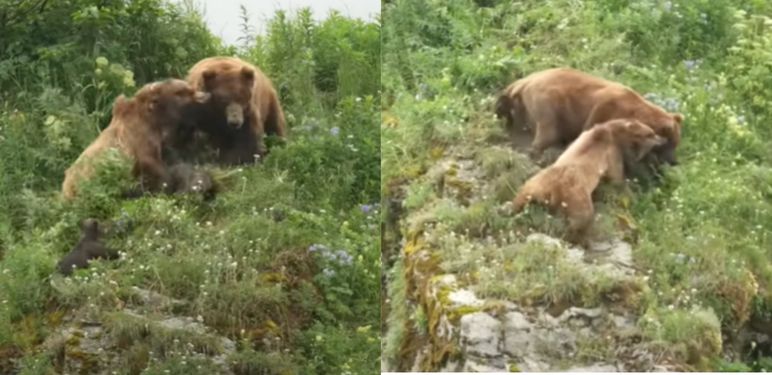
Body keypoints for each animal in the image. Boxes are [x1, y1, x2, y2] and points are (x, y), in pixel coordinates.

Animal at [494, 67, 680, 166]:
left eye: (676, 142)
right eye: (671, 143)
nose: (674, 161)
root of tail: (524, 83)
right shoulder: (604, 109)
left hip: (522, 105)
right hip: (549, 104)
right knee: (548, 132)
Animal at [510, 119, 668, 245]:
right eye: (651, 133)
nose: (662, 139)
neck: (613, 131)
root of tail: (553, 191)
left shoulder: (585, 135)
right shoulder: (611, 152)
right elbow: (616, 176)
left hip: (535, 184)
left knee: (521, 197)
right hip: (576, 196)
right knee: (582, 218)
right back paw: (578, 238)